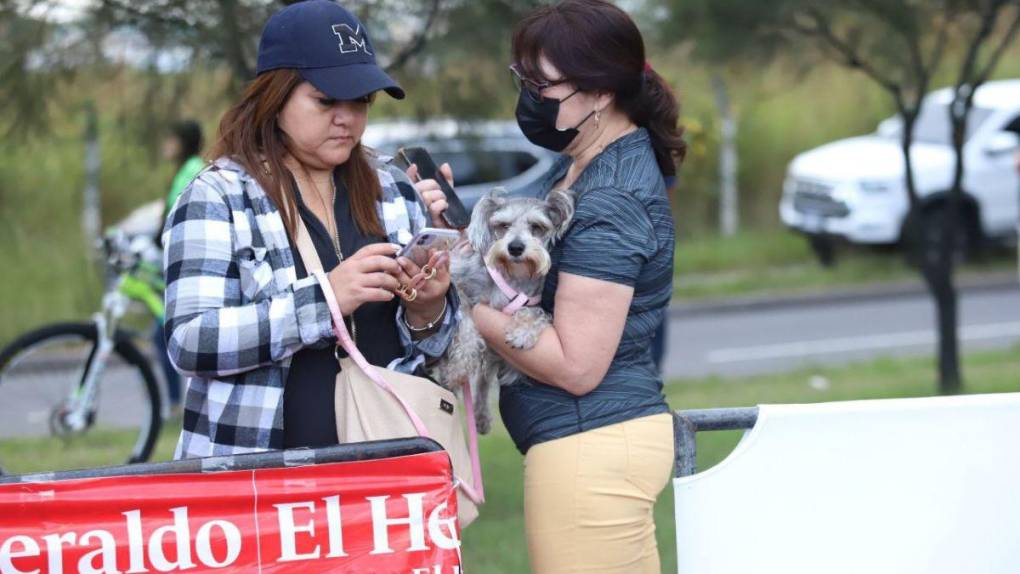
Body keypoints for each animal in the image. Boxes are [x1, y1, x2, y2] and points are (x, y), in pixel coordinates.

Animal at [436, 186, 575, 434]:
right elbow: (468, 328)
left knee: (483, 380)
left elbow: (537, 314)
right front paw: (458, 368)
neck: (514, 275)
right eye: (503, 225)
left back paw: (481, 416)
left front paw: (522, 332)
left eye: (536, 227)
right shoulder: (458, 284)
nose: (515, 247)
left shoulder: (534, 303)